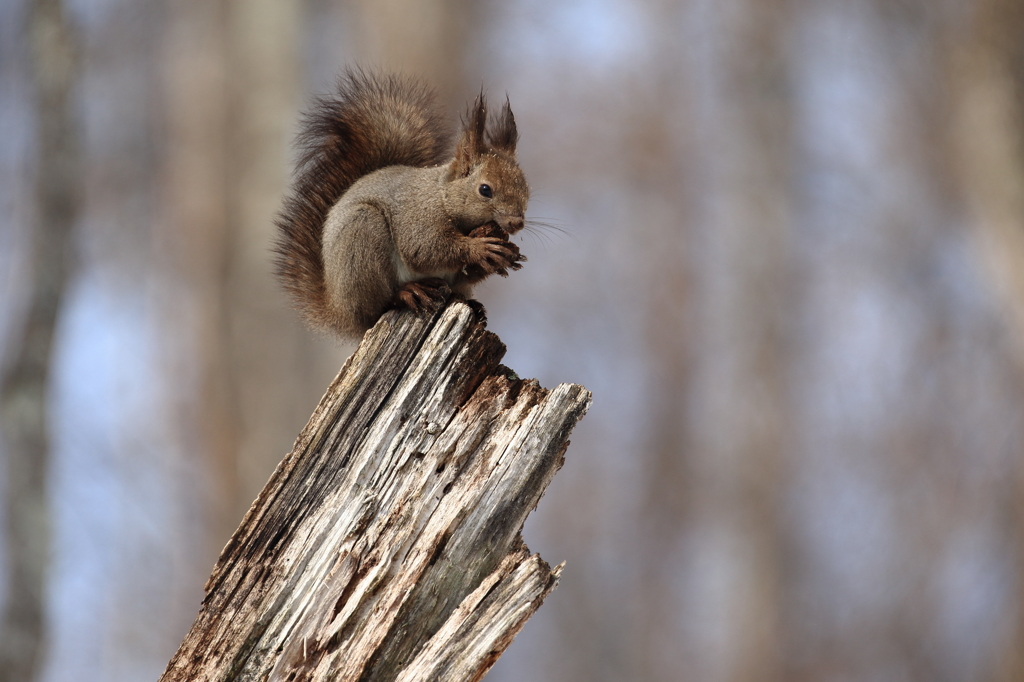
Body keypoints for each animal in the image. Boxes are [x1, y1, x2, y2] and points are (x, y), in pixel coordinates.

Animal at [274, 70, 528, 337]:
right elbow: (425, 249)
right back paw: (406, 293)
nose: (516, 223)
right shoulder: (418, 216)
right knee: (376, 305)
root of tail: (339, 309)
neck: (442, 196)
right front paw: (480, 248)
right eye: (485, 190)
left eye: (525, 187)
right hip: (363, 236)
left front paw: (507, 255)